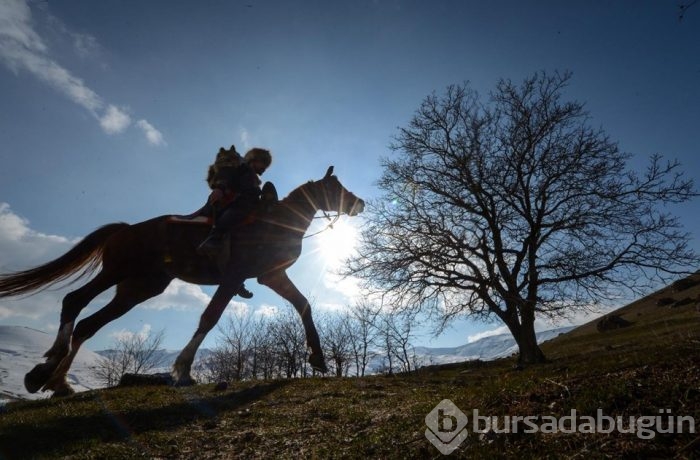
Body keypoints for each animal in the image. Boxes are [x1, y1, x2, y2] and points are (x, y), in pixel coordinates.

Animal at [1, 167, 366, 398]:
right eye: (334, 188)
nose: (360, 202)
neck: (275, 222)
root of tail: (125, 230)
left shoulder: (271, 276)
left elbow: (303, 305)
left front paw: (317, 358)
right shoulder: (234, 277)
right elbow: (210, 317)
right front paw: (183, 369)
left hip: (138, 289)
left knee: (88, 325)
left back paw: (57, 381)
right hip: (116, 273)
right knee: (74, 302)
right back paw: (47, 369)